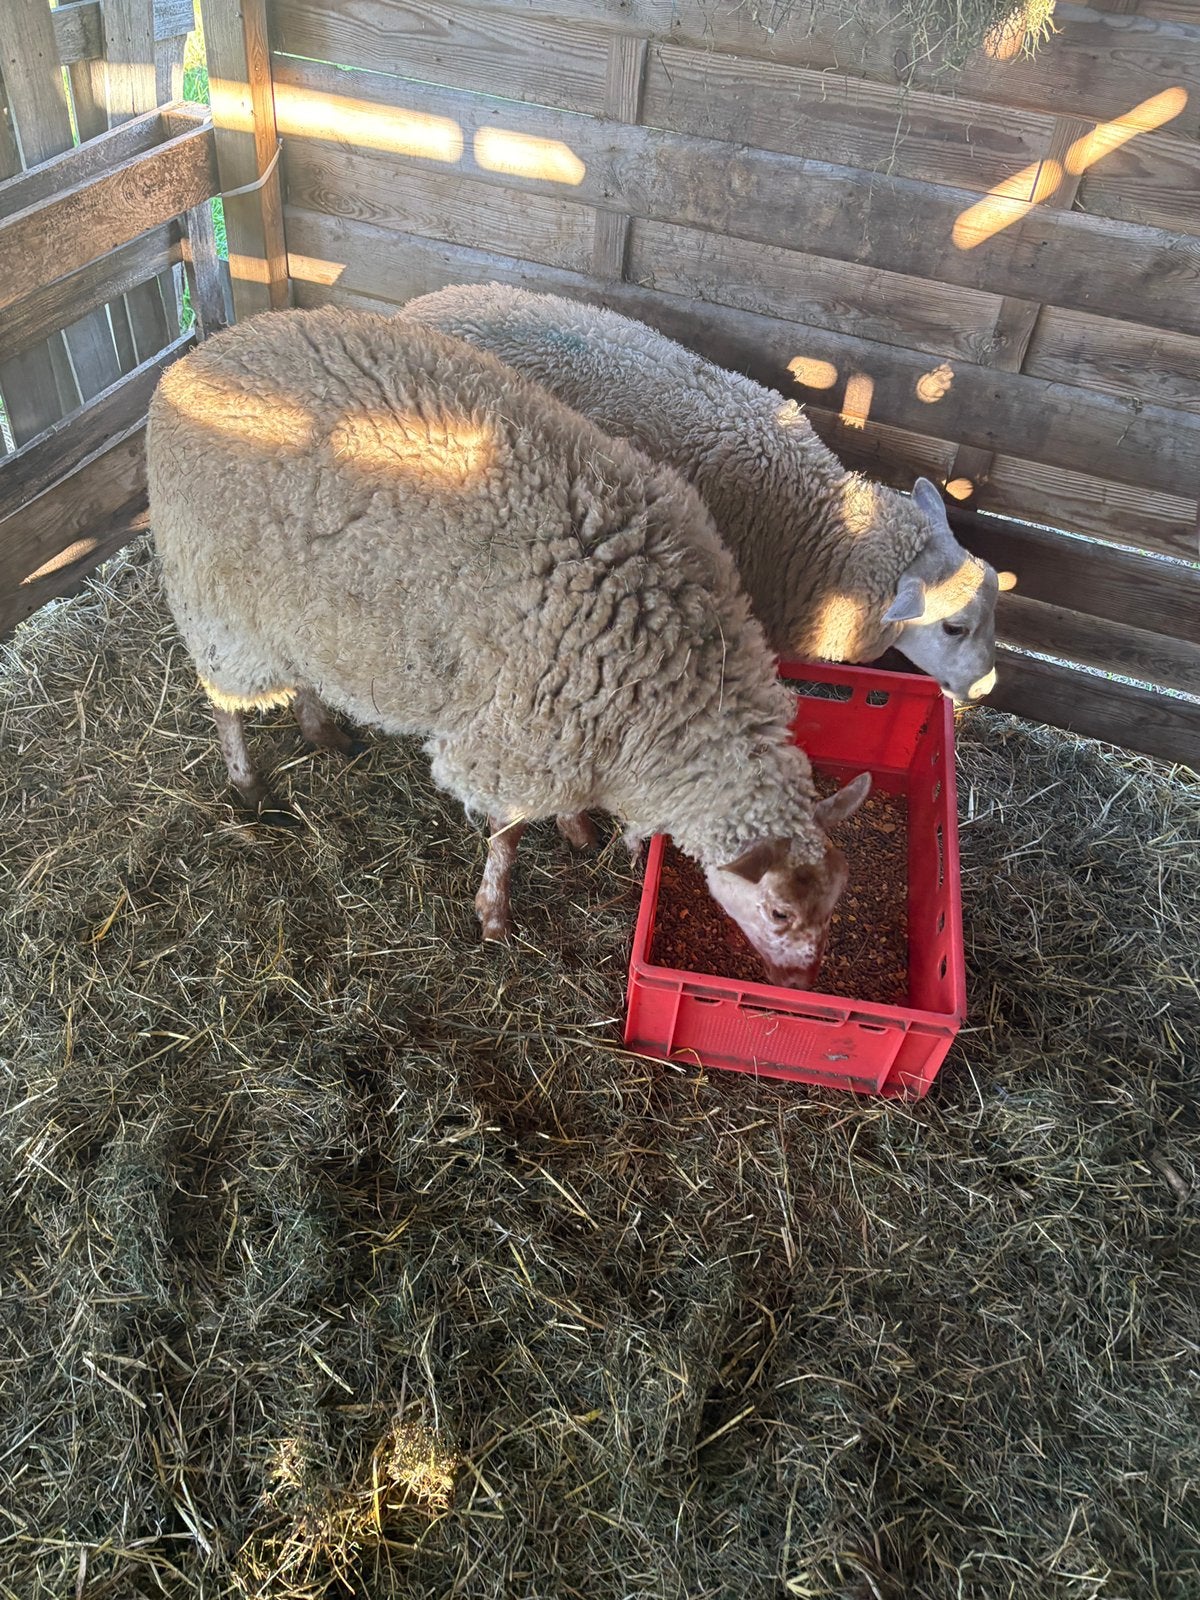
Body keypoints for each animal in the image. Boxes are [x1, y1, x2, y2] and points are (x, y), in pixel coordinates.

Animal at [147, 308, 871, 989]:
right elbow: (509, 835)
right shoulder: (518, 735)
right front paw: (494, 912)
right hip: (220, 608)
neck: (674, 686)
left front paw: (576, 828)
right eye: (778, 912)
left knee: (297, 676)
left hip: (288, 613)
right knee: (224, 706)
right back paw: (247, 786)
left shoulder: (573, 725)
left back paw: (321, 730)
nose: (802, 982)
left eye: (839, 899)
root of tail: (197, 360)